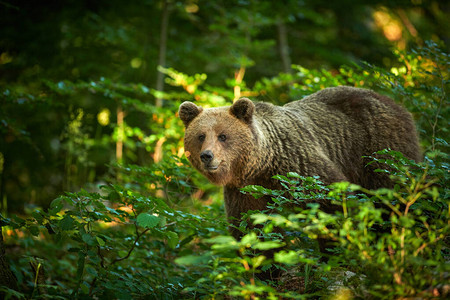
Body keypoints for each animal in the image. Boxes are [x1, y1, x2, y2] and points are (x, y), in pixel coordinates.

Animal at [178, 85, 422, 240]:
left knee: (392, 194)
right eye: (200, 136)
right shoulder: (245, 190)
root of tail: (394, 103)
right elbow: (251, 228)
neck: (261, 166)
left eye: (223, 136)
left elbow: (333, 202)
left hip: (381, 148)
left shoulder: (300, 167)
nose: (207, 155)